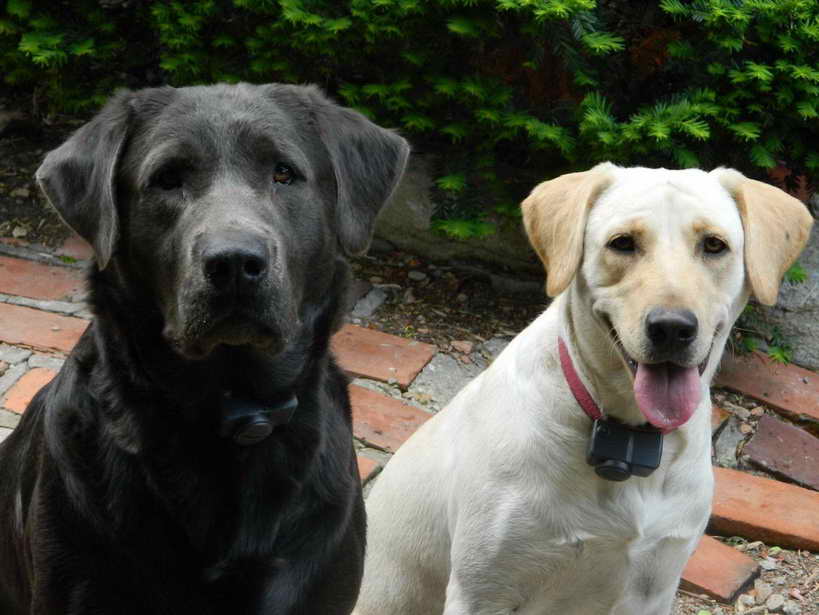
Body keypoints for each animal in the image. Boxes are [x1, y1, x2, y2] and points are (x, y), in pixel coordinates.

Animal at [354, 164, 812, 615]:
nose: (672, 328)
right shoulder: (481, 591)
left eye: (714, 245)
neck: (627, 441)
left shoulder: (655, 586)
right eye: (622, 243)